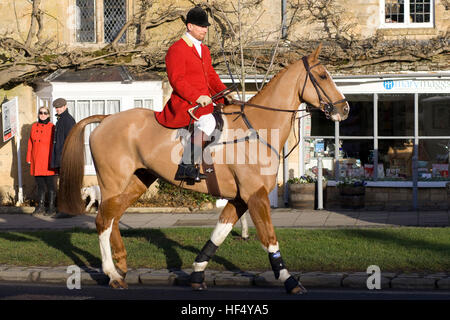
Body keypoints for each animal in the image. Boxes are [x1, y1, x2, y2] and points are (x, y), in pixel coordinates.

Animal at [59, 43, 348, 294]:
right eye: (323, 76)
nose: (344, 109)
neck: (258, 127)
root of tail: (106, 119)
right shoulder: (255, 196)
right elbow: (269, 238)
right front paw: (289, 280)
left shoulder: (240, 199)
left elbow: (218, 235)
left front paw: (197, 273)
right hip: (112, 182)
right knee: (103, 221)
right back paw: (111, 274)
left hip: (136, 182)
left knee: (113, 218)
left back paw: (121, 264)